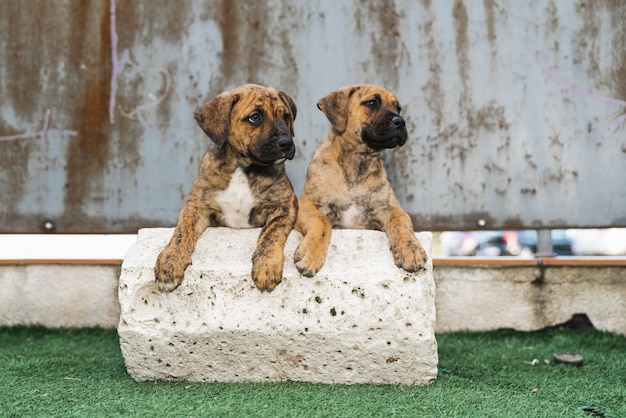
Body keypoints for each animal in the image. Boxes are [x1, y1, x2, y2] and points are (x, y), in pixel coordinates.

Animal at [152, 83, 296, 292]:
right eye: (255, 117)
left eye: (286, 116)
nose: (287, 143)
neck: (242, 168)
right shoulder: (195, 206)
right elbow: (182, 231)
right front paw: (170, 260)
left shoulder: (285, 206)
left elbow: (272, 233)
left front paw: (267, 264)